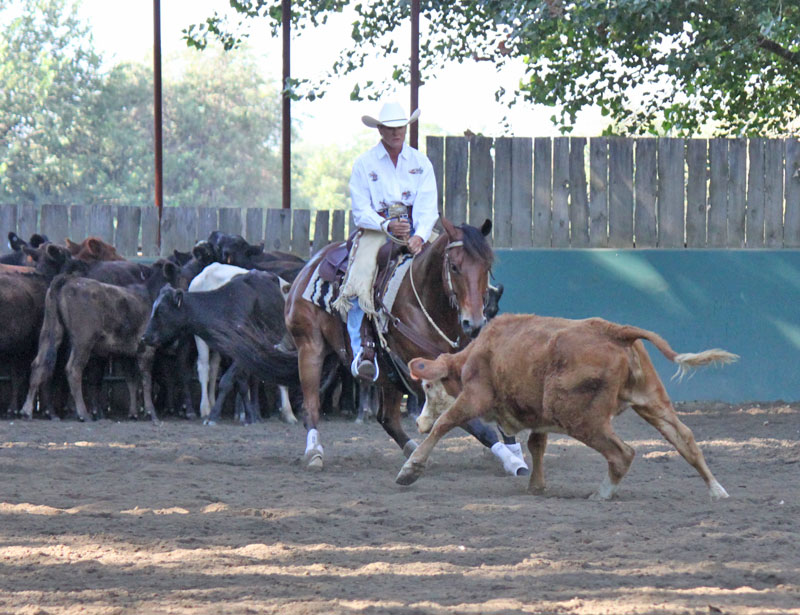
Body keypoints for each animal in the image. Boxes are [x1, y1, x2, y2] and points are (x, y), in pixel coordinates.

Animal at [284, 218, 490, 472]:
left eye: (486, 266)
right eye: (454, 266)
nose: (474, 322)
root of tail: (310, 265)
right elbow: (473, 423)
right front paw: (514, 463)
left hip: (389, 375)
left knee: (388, 418)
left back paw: (413, 452)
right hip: (310, 348)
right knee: (311, 406)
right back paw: (314, 451)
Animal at [396, 312, 740, 500]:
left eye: (428, 386)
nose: (419, 423)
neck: (477, 354)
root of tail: (615, 331)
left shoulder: (475, 397)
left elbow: (446, 422)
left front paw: (411, 469)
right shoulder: (537, 416)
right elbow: (536, 444)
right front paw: (536, 485)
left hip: (579, 416)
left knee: (623, 453)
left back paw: (603, 493)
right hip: (651, 401)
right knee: (685, 439)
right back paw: (717, 490)